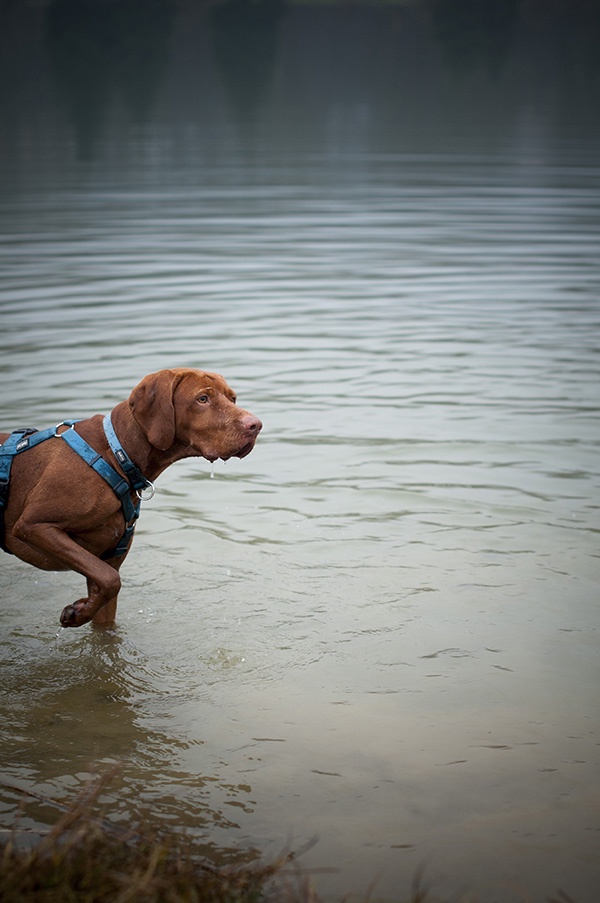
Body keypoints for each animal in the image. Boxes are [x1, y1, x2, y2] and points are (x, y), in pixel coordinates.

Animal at [0, 368, 262, 628]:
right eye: (202, 399)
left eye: (232, 398)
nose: (256, 425)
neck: (117, 455)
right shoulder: (33, 525)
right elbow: (111, 580)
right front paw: (76, 613)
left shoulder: (106, 560)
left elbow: (107, 598)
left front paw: (82, 610)